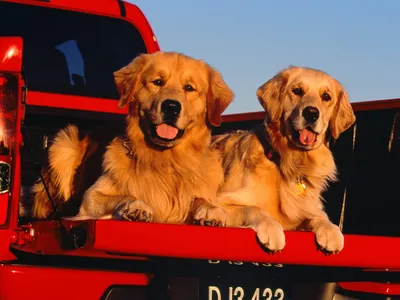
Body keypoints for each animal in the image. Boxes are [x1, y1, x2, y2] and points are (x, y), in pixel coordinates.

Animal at [30, 51, 234, 224]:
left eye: (189, 88)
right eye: (157, 82)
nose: (171, 107)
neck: (164, 161)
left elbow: (200, 199)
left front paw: (211, 210)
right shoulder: (91, 197)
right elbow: (124, 195)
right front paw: (136, 205)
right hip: (65, 142)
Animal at [193, 66, 356, 253]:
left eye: (326, 96)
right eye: (297, 91)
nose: (311, 113)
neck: (289, 162)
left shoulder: (305, 209)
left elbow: (318, 216)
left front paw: (331, 231)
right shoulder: (225, 199)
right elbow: (253, 208)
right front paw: (272, 229)